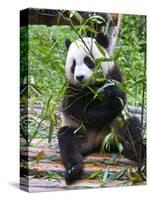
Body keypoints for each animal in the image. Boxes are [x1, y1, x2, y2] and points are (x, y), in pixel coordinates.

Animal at [56, 35, 146, 184]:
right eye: (73, 65)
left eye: (88, 61)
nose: (80, 77)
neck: (92, 85)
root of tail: (100, 143)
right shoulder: (73, 89)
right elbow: (84, 112)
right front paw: (113, 103)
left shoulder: (113, 73)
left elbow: (120, 93)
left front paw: (112, 92)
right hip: (80, 132)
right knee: (67, 140)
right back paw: (73, 169)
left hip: (118, 131)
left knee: (133, 128)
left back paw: (140, 158)